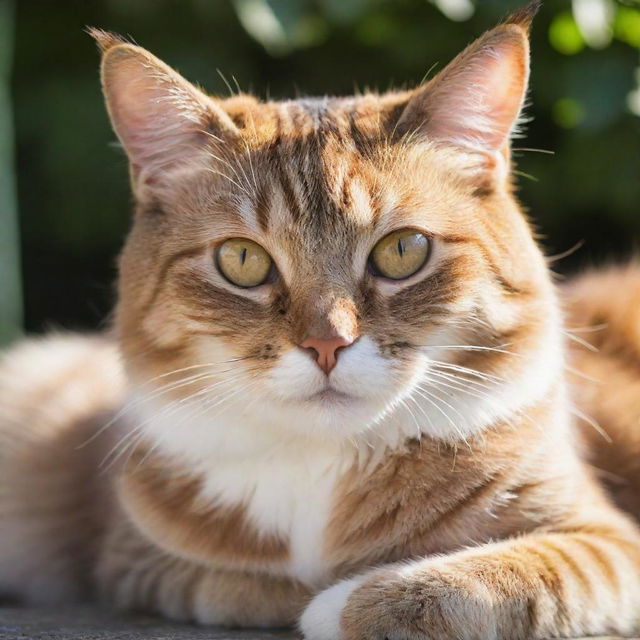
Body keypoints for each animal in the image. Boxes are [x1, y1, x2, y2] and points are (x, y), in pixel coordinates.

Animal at [1, 2, 640, 636]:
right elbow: (229, 582)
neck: (323, 459)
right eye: (242, 261)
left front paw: (348, 599)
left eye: (402, 251)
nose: (327, 344)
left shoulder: (609, 543)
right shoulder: (135, 556)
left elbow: (503, 577)